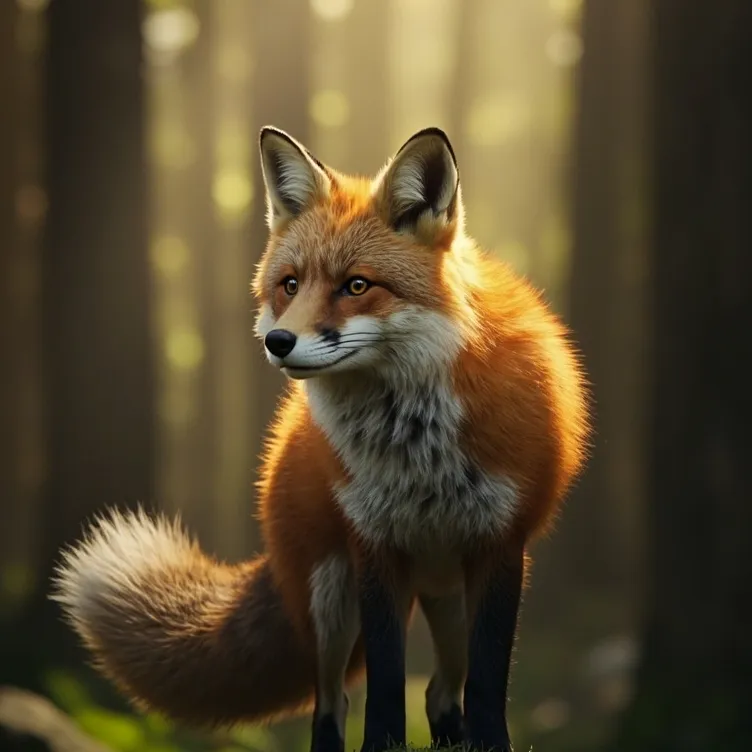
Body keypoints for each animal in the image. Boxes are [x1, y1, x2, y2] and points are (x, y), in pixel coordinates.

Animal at [52, 126, 590, 752]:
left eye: (356, 285)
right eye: (290, 285)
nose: (278, 342)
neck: (417, 444)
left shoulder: (500, 547)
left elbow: (485, 686)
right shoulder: (374, 545)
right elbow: (384, 686)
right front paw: (381, 745)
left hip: (447, 595)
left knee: (441, 692)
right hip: (331, 598)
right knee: (330, 704)